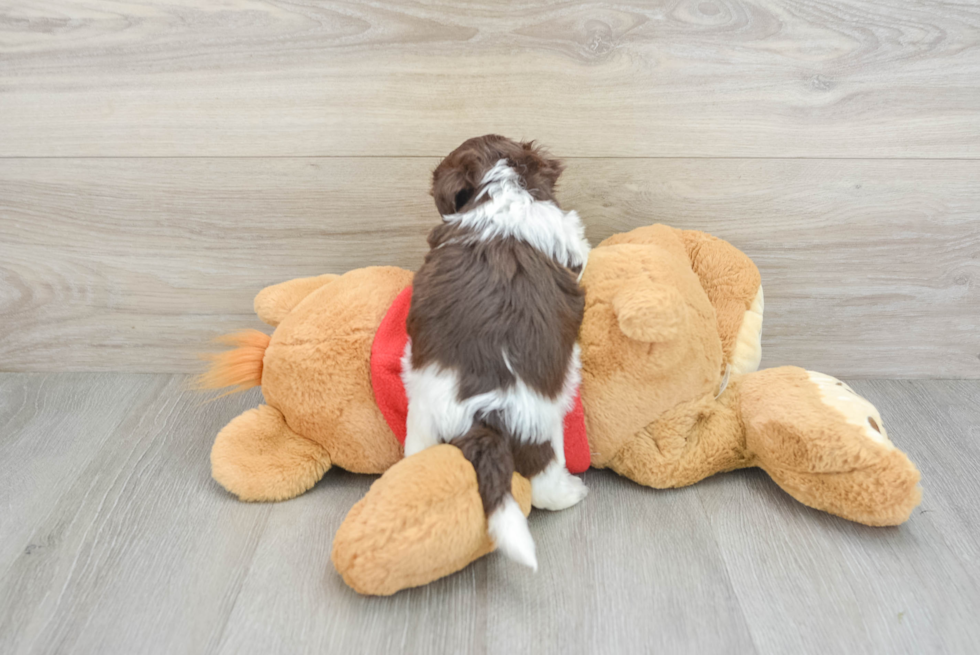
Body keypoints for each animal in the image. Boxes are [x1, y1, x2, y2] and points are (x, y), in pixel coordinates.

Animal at [404, 135, 592, 568]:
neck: (499, 190)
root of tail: (484, 413)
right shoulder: (568, 237)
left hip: (421, 419)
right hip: (542, 428)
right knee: (544, 485)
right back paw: (572, 492)